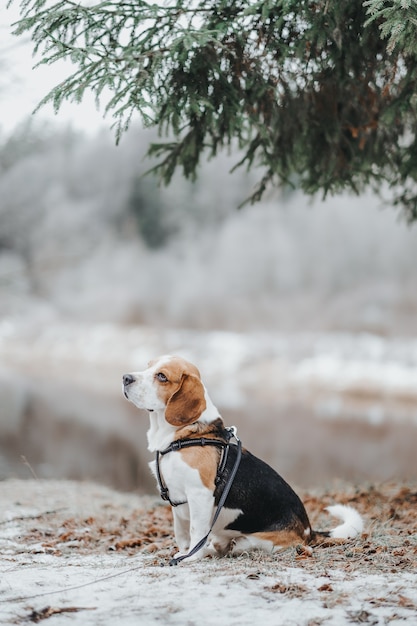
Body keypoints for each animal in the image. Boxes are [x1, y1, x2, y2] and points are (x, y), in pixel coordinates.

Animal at [122, 354, 362, 564]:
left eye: (162, 376)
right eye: (148, 366)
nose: (125, 378)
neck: (186, 435)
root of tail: (308, 530)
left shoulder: (199, 495)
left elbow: (195, 531)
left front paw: (190, 557)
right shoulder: (177, 501)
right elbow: (181, 533)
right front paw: (183, 552)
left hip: (254, 540)